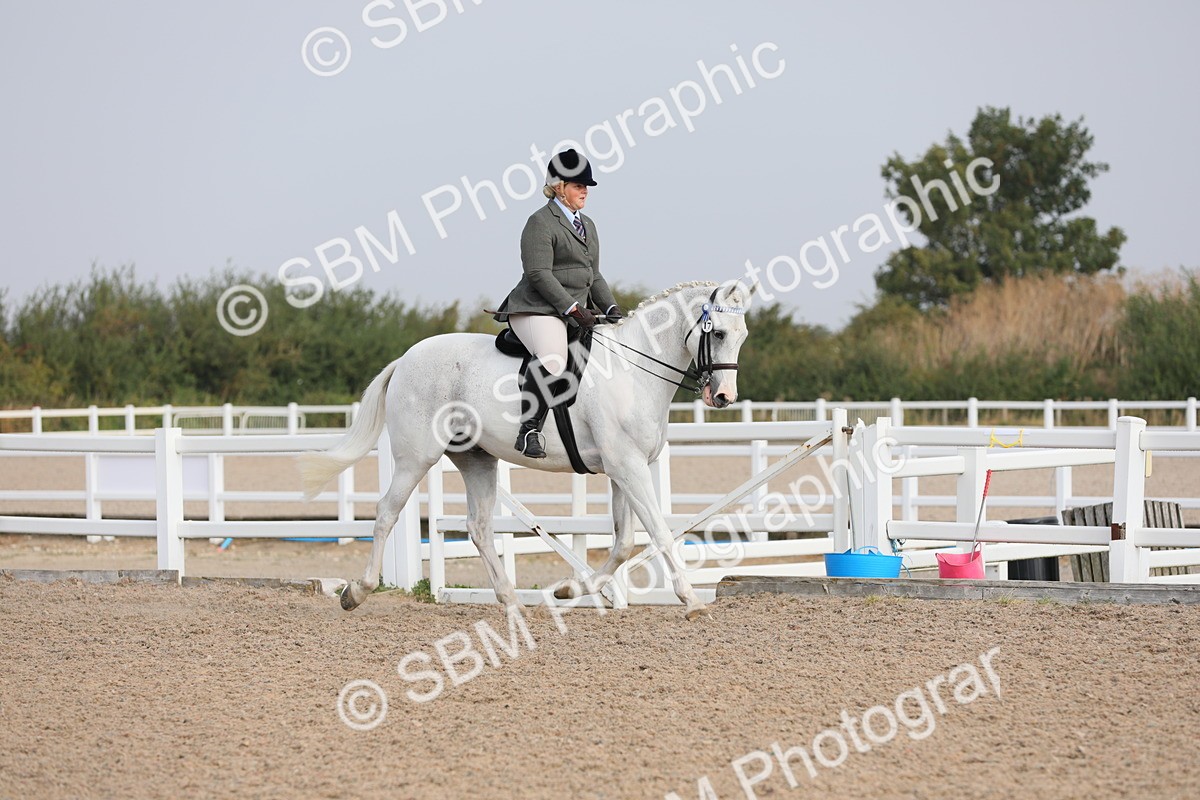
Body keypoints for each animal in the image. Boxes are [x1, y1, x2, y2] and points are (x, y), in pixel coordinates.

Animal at [298, 279, 756, 620]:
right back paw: (357, 591)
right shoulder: (628, 467)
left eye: (743, 336)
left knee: (479, 527)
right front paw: (691, 600)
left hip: (476, 459)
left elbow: (624, 541)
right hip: (416, 458)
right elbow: (658, 531)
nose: (723, 397)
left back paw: (512, 601)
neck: (633, 370)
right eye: (717, 333)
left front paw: (572, 589)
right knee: (387, 512)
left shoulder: (625, 468)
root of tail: (405, 359)